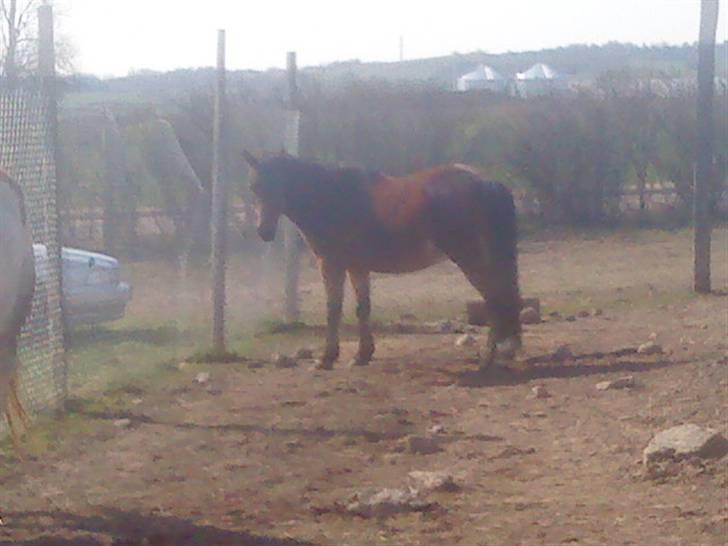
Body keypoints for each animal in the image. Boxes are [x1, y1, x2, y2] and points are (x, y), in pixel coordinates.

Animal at [242, 152, 522, 371]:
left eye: (277, 183)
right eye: (254, 187)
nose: (263, 231)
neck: (333, 198)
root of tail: (486, 183)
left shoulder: (331, 265)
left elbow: (333, 309)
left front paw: (326, 358)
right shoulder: (357, 267)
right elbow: (362, 308)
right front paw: (362, 355)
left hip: (471, 260)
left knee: (495, 300)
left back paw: (487, 359)